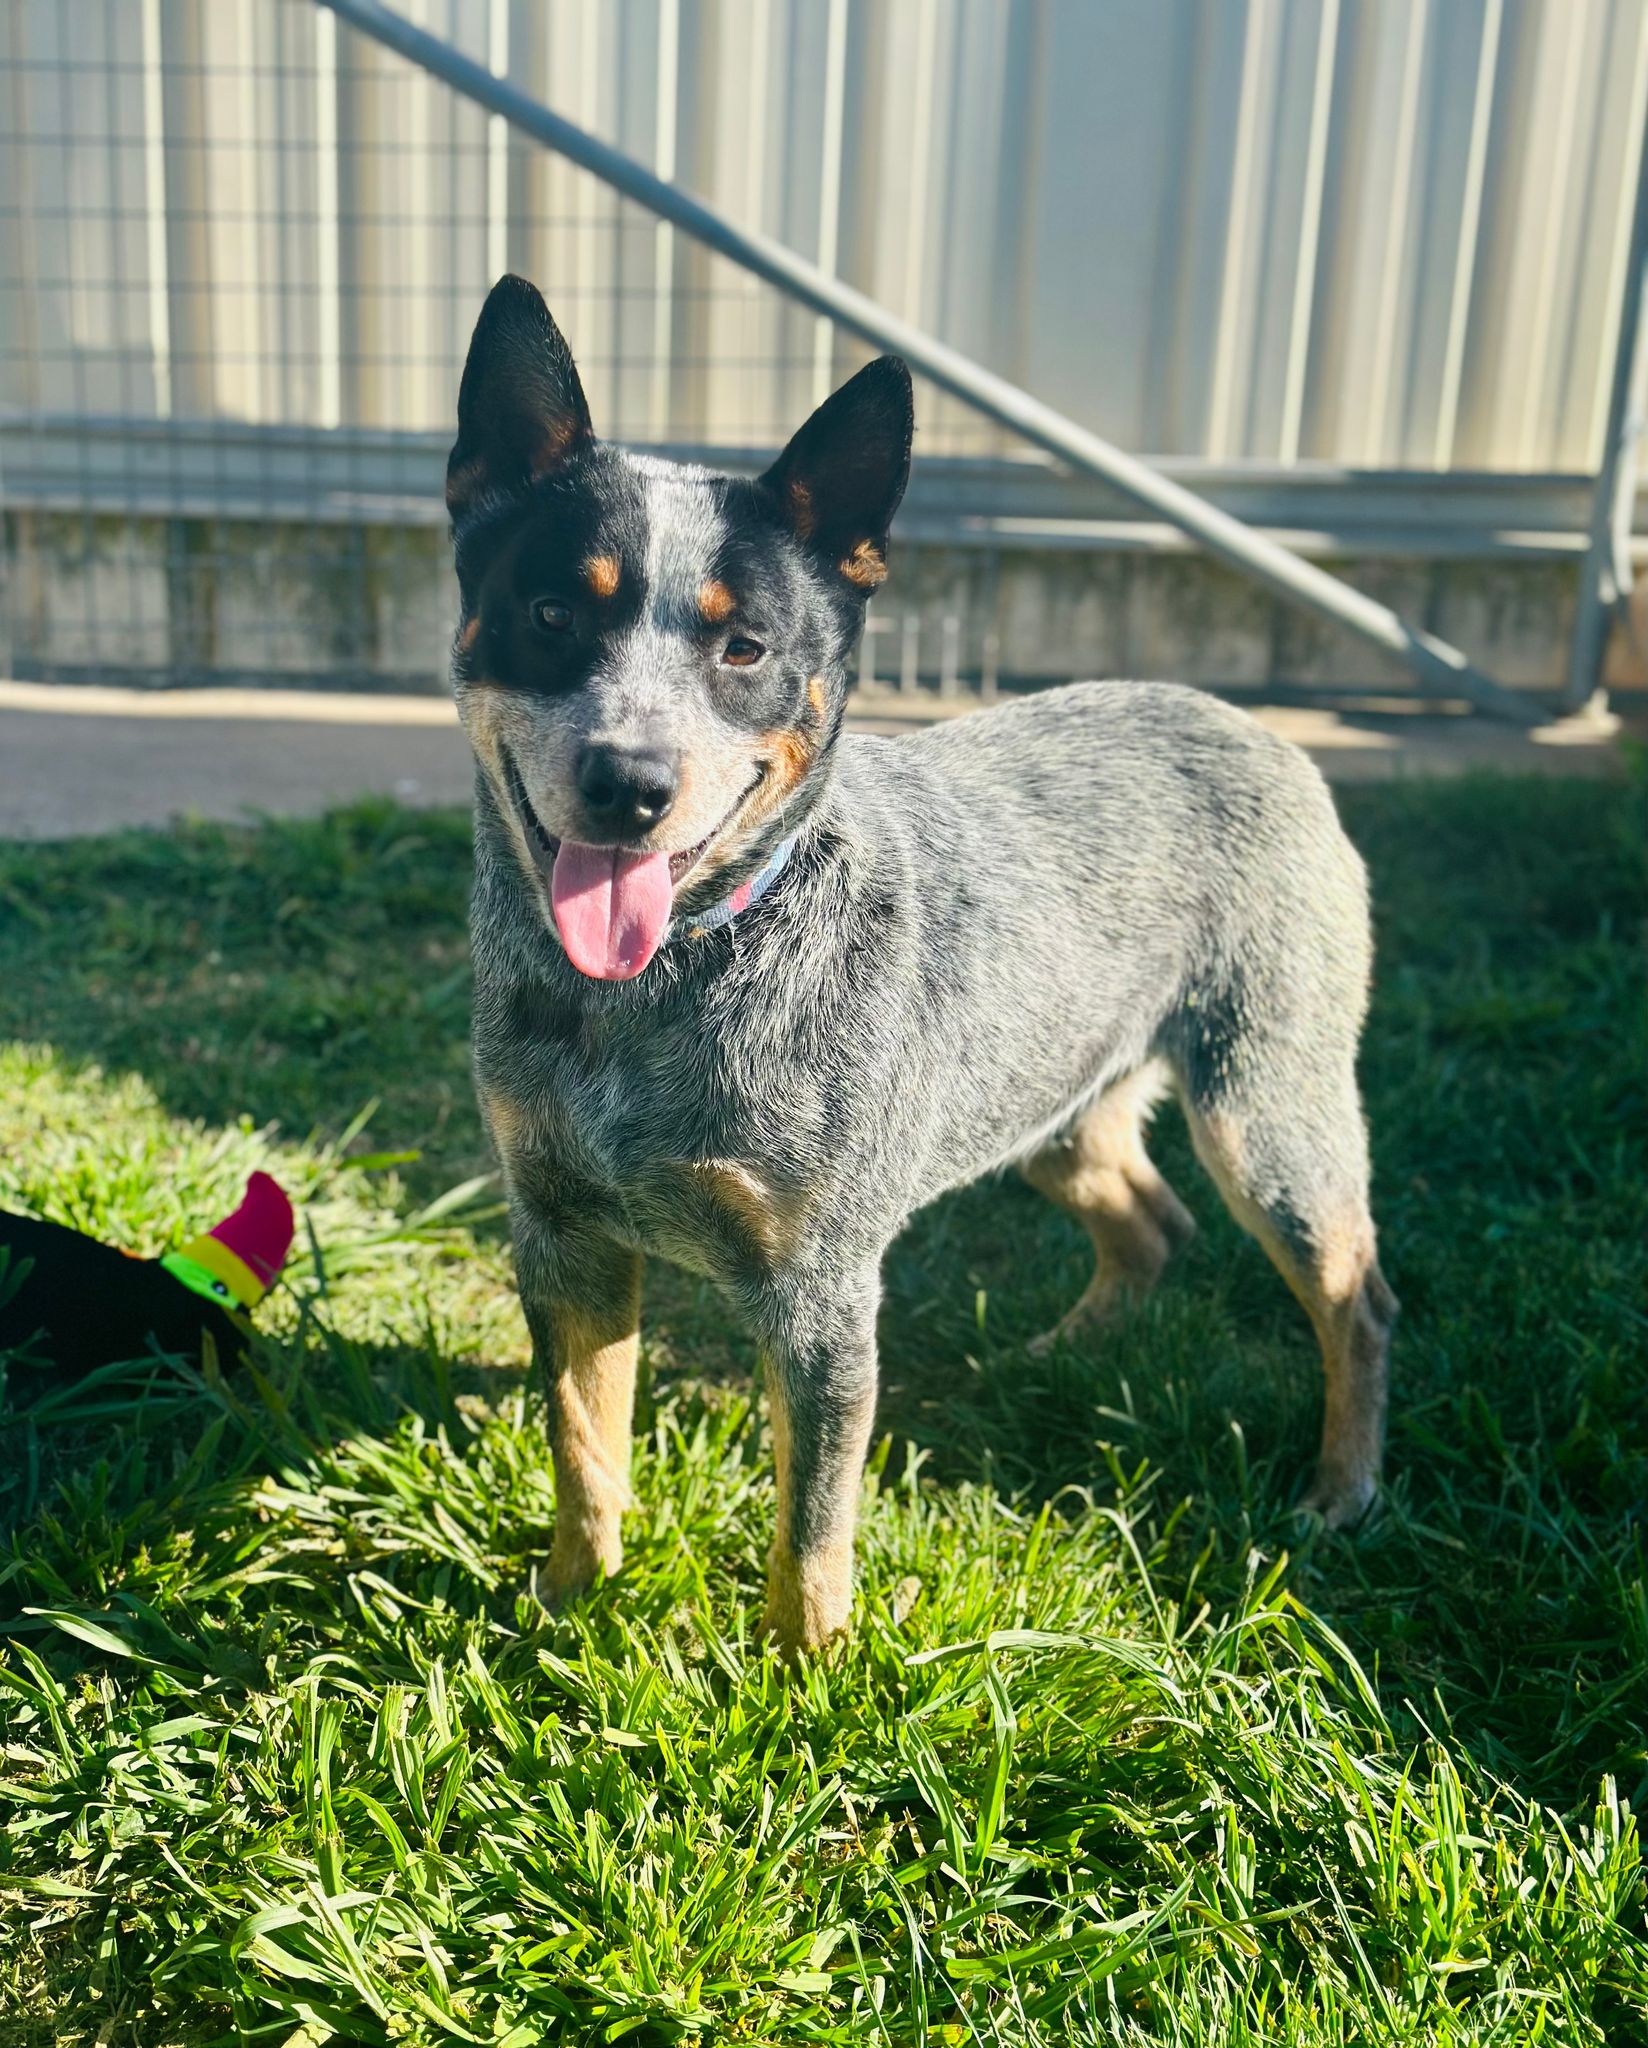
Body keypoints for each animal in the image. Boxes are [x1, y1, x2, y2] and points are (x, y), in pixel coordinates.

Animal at [446, 276, 1392, 1646]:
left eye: (744, 649)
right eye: (552, 610)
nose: (629, 782)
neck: (664, 990)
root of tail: (1250, 723)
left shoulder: (821, 1293)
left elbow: (810, 1527)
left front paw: (806, 1673)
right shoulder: (562, 1235)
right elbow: (585, 1453)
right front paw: (568, 1610)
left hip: (1266, 1113)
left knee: (1354, 1295)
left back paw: (1340, 1487)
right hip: (1055, 1097)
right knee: (1149, 1219)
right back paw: (1058, 1354)